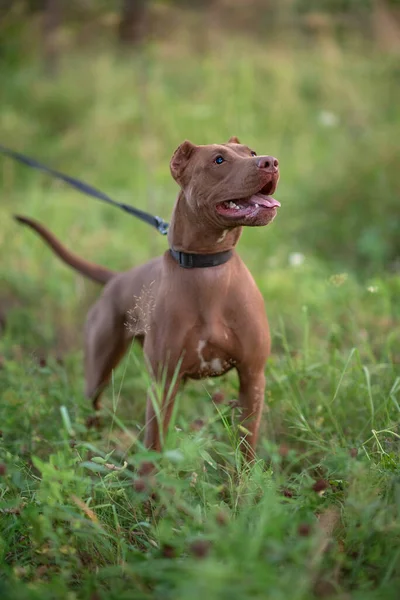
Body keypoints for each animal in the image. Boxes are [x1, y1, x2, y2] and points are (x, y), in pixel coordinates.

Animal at [16, 138, 278, 460]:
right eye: (218, 160)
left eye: (252, 153)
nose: (270, 162)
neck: (207, 268)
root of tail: (116, 278)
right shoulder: (163, 382)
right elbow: (154, 445)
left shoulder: (252, 377)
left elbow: (245, 449)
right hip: (99, 371)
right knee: (91, 410)